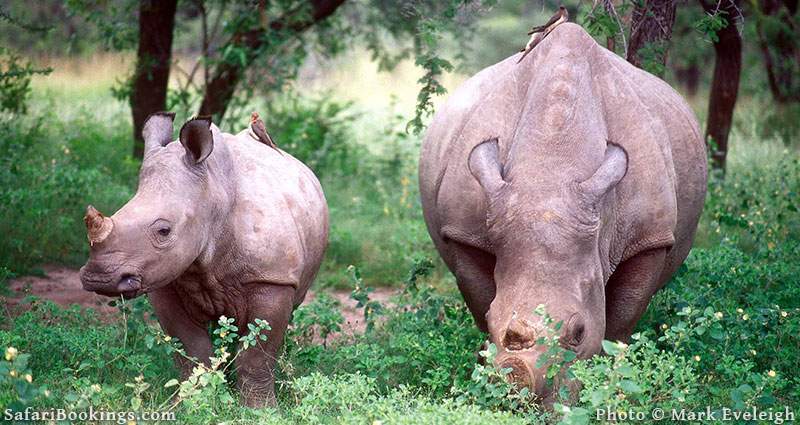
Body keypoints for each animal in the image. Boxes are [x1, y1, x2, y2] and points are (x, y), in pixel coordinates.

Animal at [79, 113, 329, 407]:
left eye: (164, 231)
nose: (98, 278)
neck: (211, 196)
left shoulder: (271, 277)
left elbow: (257, 354)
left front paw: (260, 409)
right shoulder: (163, 280)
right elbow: (192, 349)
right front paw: (190, 402)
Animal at [419, 23, 707, 398]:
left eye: (578, 332)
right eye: (496, 318)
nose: (516, 383)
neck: (550, 168)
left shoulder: (649, 238)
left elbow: (622, 317)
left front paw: (606, 381)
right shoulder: (463, 231)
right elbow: (480, 300)